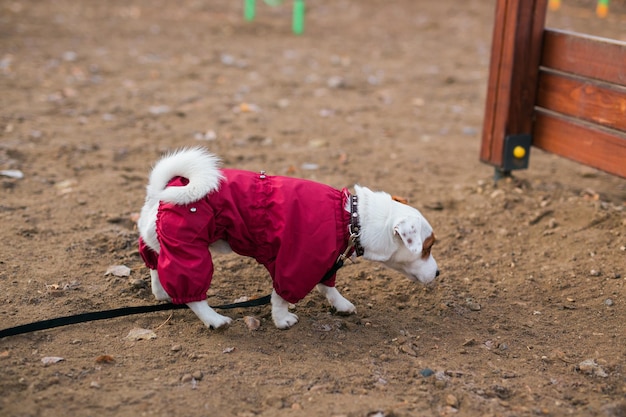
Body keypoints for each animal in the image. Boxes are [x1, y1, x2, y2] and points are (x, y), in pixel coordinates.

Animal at [136, 148, 438, 330]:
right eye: (427, 248)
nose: (438, 273)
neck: (351, 217)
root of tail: (161, 191)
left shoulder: (323, 261)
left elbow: (328, 286)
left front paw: (340, 304)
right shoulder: (296, 262)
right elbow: (281, 295)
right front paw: (282, 319)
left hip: (165, 244)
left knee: (156, 265)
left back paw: (163, 293)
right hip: (190, 250)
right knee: (193, 294)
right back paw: (214, 318)